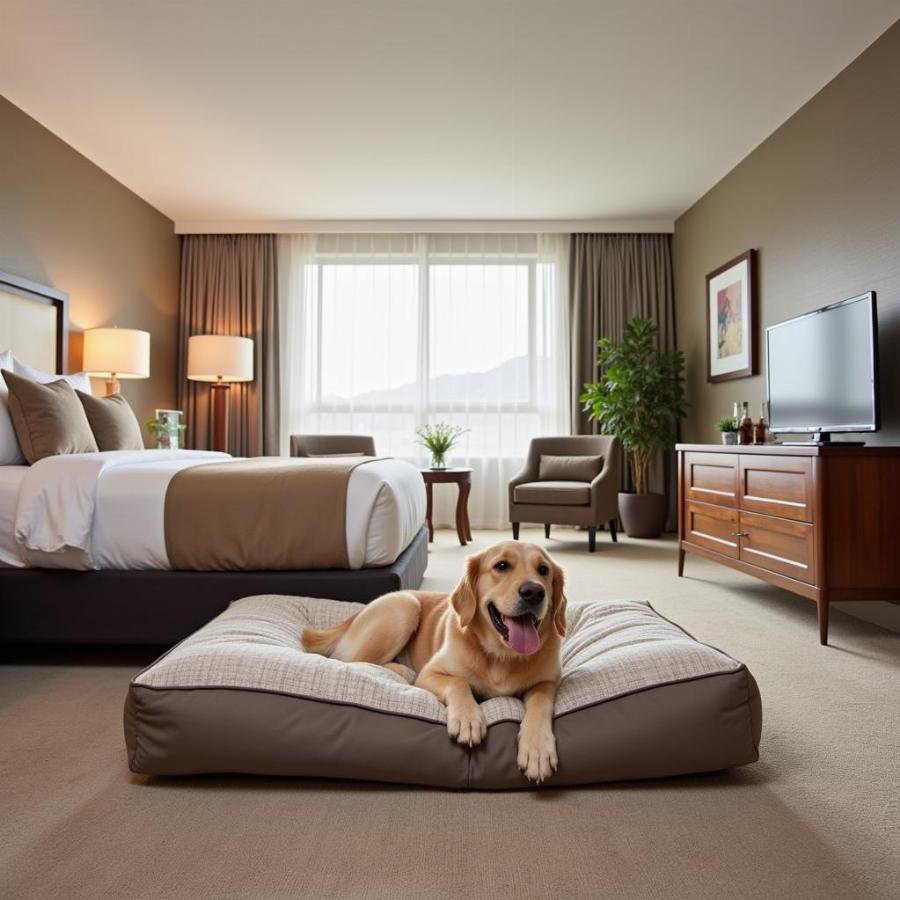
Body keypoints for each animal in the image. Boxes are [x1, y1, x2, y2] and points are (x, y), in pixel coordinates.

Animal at [306, 540, 568, 780]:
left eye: (543, 570)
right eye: (501, 566)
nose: (534, 592)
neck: (502, 655)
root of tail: (356, 614)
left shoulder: (547, 682)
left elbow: (540, 702)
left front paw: (537, 749)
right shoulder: (430, 673)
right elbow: (458, 682)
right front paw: (468, 718)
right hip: (404, 607)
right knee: (350, 660)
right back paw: (402, 670)